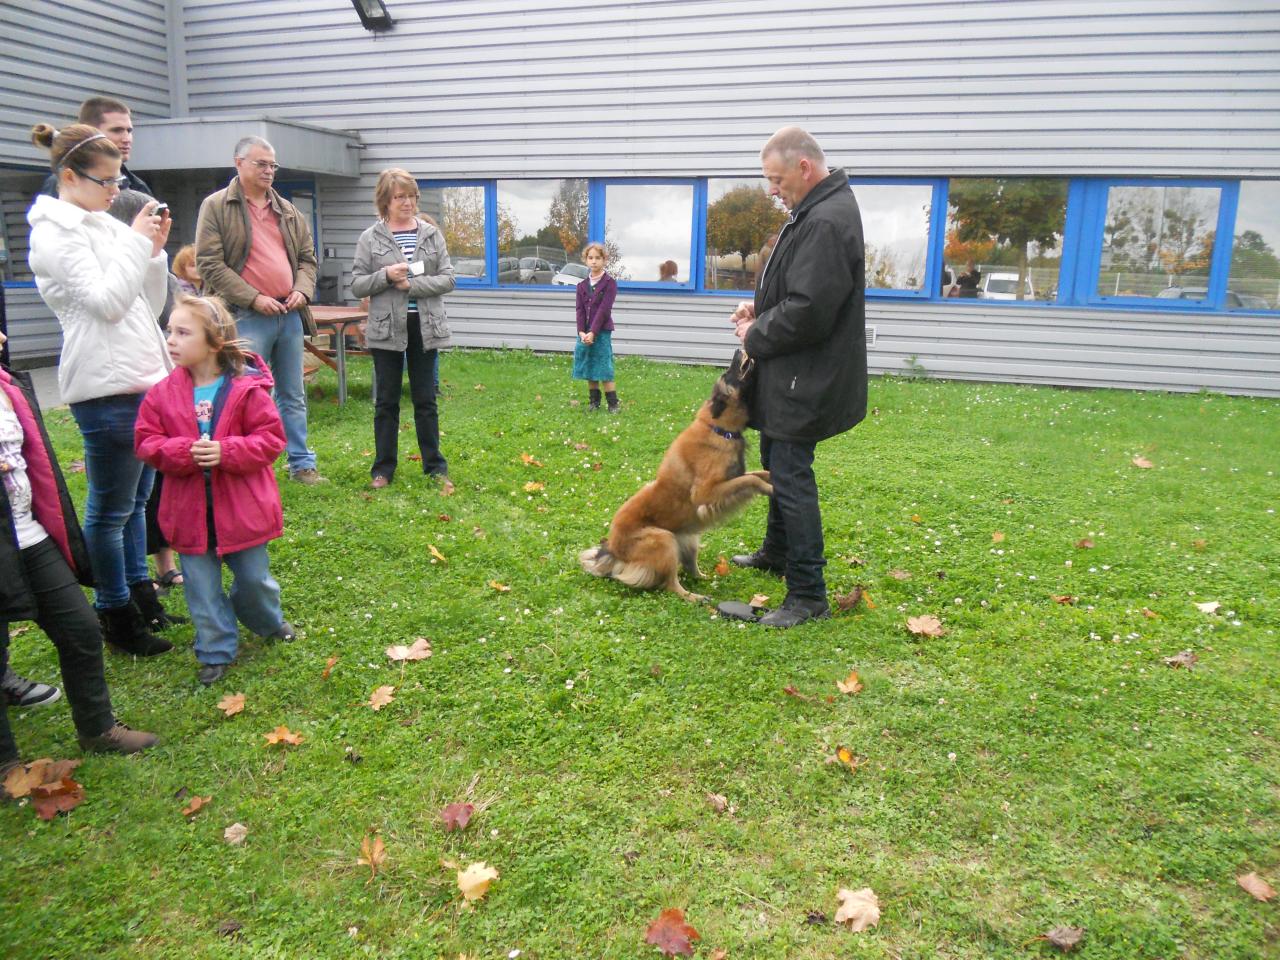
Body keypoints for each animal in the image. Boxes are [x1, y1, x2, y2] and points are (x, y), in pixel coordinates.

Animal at [581, 358, 768, 604]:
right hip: (664, 539)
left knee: (690, 569)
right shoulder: (706, 492)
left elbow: (756, 475)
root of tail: (612, 548)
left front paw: (771, 480)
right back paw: (695, 597)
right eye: (729, 373)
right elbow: (751, 480)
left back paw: (707, 579)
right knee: (671, 584)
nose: (739, 352)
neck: (718, 428)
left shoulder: (732, 479)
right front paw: (770, 489)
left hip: (687, 538)